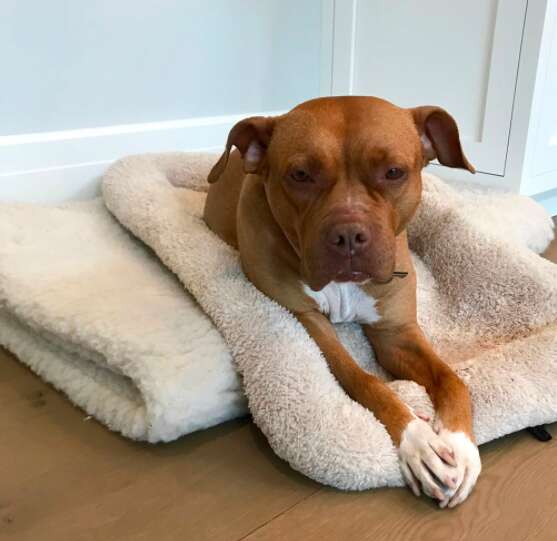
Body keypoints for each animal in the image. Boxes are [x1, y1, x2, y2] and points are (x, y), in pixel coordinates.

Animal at [202, 97, 480, 506]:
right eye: (301, 174)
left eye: (393, 172)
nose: (349, 235)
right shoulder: (309, 322)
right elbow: (364, 379)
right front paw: (417, 441)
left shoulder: (396, 333)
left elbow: (450, 378)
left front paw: (460, 443)